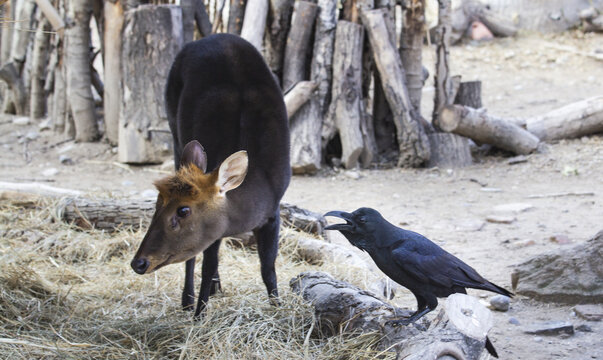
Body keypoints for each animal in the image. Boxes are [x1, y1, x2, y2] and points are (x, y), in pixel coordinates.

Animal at [131, 33, 292, 318]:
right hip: (174, 129)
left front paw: (278, 307)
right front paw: (198, 314)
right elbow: (206, 265)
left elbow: (268, 268)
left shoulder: (273, 212)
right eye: (157, 203)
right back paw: (188, 299)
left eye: (184, 210)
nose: (139, 263)